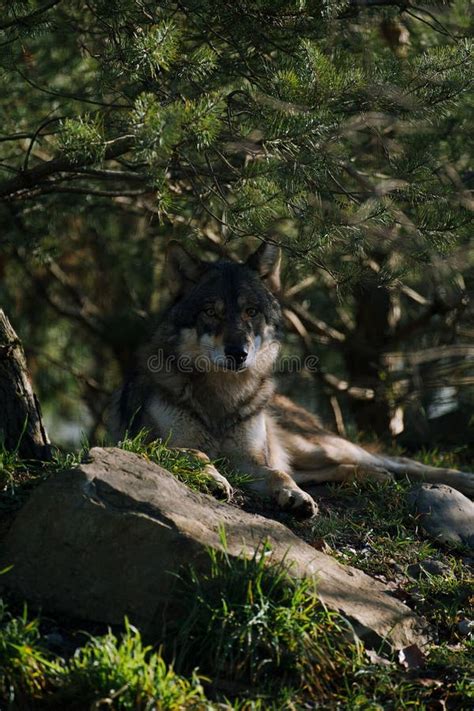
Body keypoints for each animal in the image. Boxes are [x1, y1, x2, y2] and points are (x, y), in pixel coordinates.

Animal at [109, 242, 472, 520]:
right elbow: (196, 454)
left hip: (318, 445)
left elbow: (277, 474)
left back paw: (460, 478)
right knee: (342, 468)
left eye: (251, 312)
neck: (222, 398)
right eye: (211, 312)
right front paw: (214, 479)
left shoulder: (250, 461)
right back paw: (373, 477)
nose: (238, 352)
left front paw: (293, 496)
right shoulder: (152, 444)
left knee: (398, 460)